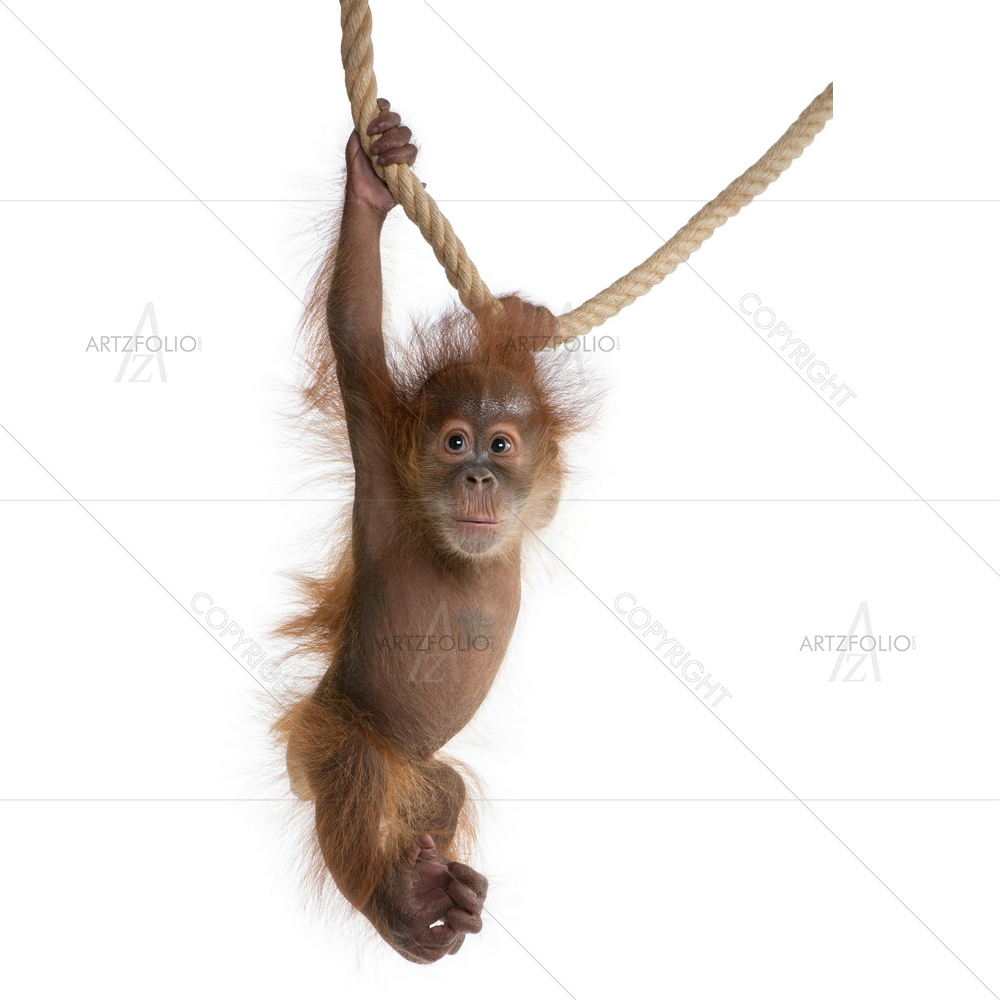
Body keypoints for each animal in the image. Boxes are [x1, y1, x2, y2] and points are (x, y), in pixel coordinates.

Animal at [273, 99, 588, 964]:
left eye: (501, 445)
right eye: (453, 442)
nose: (476, 475)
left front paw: (524, 327)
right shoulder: (384, 470)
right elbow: (354, 331)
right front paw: (371, 184)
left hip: (416, 769)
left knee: (438, 791)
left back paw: (440, 892)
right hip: (330, 728)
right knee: (350, 771)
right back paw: (402, 909)